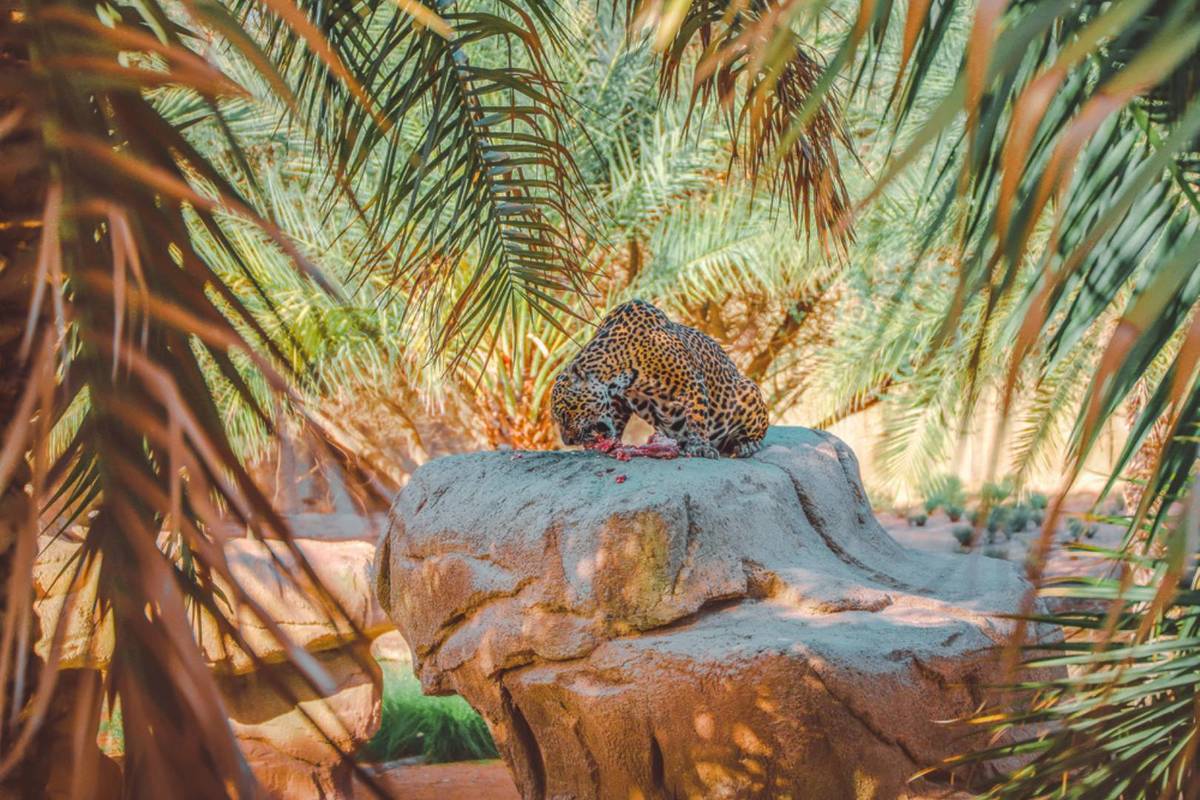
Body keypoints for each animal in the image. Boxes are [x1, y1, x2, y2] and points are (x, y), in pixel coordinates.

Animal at [551, 299, 769, 458]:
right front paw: (611, 444)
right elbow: (615, 419)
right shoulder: (620, 398)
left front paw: (700, 446)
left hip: (748, 389)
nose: (568, 441)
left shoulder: (691, 382)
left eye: (565, 415)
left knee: (757, 432)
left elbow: (697, 417)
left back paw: (746, 445)